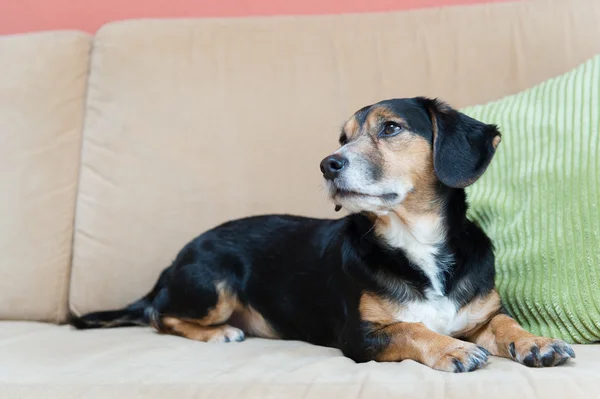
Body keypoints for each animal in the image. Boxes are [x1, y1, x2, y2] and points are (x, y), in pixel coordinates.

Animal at [71, 98, 576, 374]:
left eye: (391, 127)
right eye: (342, 138)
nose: (327, 164)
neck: (417, 244)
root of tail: (172, 262)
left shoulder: (482, 315)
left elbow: (506, 324)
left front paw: (538, 342)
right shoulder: (360, 336)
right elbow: (412, 328)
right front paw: (452, 349)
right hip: (212, 283)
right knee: (159, 315)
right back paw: (220, 334)